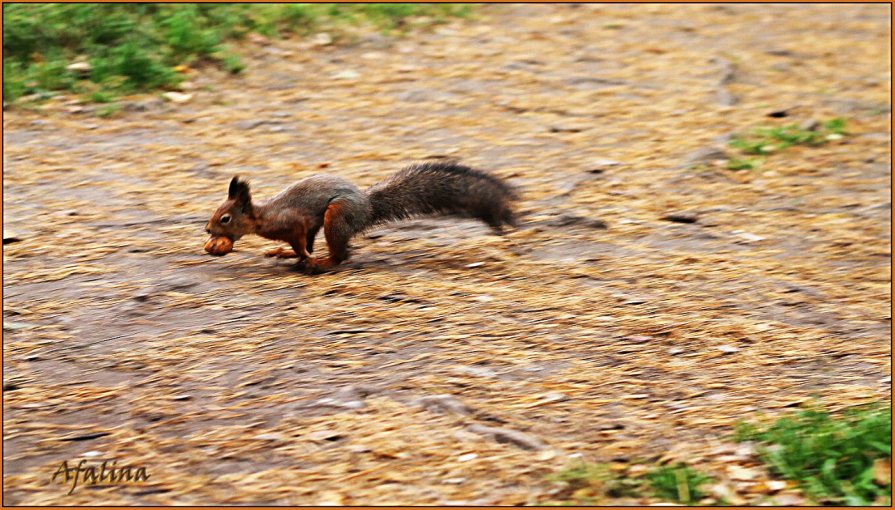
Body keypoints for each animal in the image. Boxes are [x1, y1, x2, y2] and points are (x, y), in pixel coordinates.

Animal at [204, 162, 520, 274]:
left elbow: (301, 243)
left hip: (336, 216)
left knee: (342, 255)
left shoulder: (294, 223)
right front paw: (285, 253)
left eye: (225, 218)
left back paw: (322, 262)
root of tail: (367, 207)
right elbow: (300, 245)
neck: (263, 216)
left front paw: (303, 257)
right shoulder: (303, 228)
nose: (207, 230)